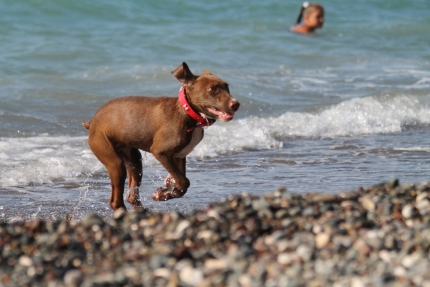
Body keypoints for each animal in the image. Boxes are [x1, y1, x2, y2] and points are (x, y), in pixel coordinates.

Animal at [83, 63, 239, 212]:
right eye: (212, 89)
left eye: (227, 86)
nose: (236, 104)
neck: (187, 113)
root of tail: (92, 121)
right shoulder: (160, 152)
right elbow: (184, 181)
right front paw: (165, 192)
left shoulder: (179, 155)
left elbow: (182, 184)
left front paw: (166, 192)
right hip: (113, 160)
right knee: (115, 201)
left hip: (134, 159)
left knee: (132, 195)